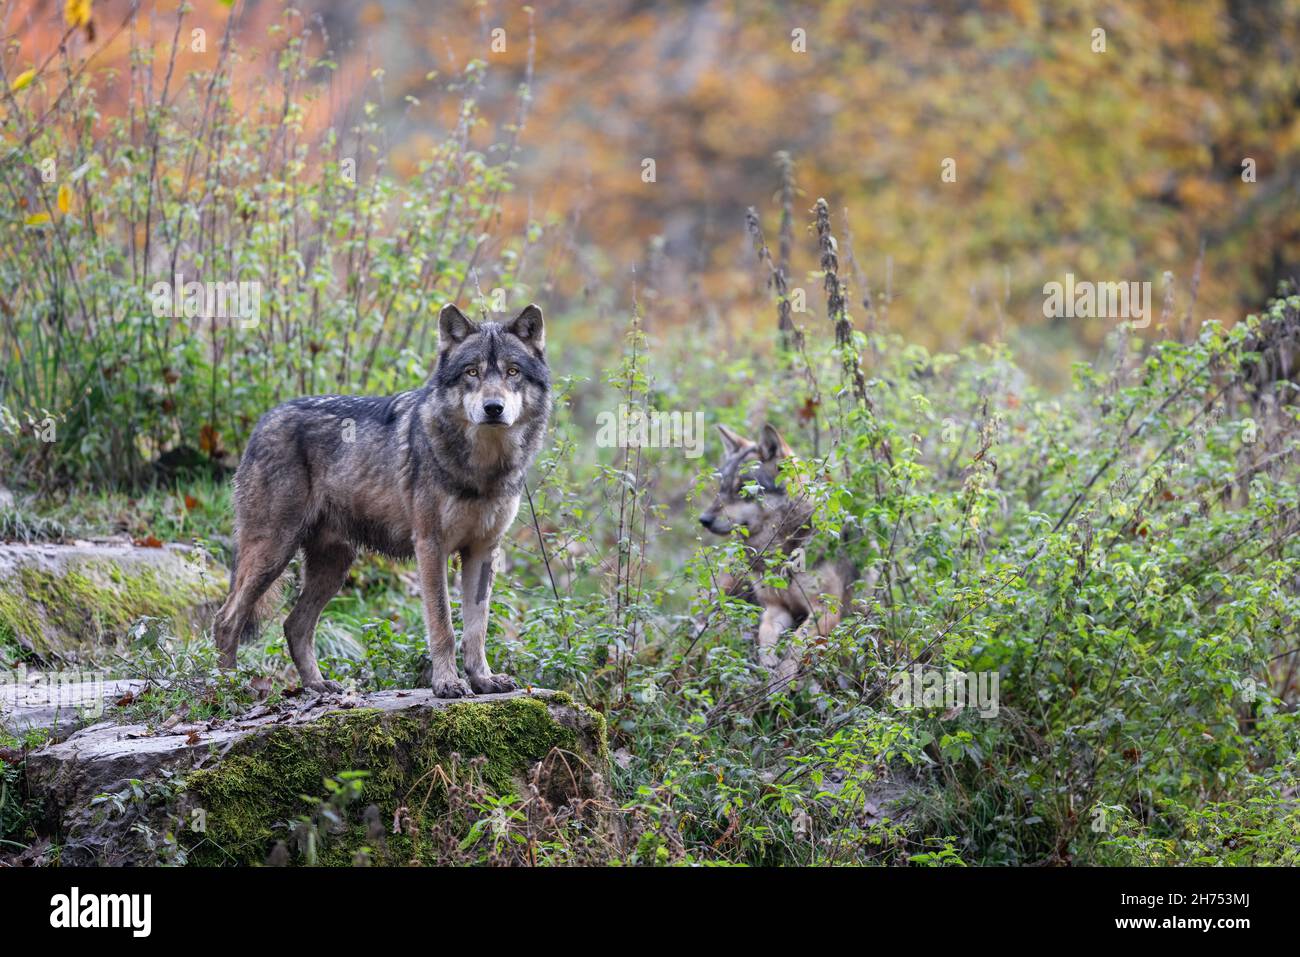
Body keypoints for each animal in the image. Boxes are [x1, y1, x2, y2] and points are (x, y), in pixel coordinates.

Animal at [213, 303, 550, 697]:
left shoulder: (483, 550)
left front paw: (483, 679)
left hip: (333, 566)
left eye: (512, 372)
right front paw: (447, 683)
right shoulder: (430, 546)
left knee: (293, 625)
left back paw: (318, 685)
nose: (493, 408)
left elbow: (476, 628)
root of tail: (263, 420)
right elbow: (444, 626)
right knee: (227, 618)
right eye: (472, 372)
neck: (483, 468)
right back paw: (228, 689)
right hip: (274, 552)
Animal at [699, 423, 856, 686]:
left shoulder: (825, 610)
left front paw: (782, 679)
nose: (704, 520)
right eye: (721, 488)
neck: (785, 551)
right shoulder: (775, 608)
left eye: (742, 489)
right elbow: (766, 635)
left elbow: (796, 643)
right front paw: (769, 665)